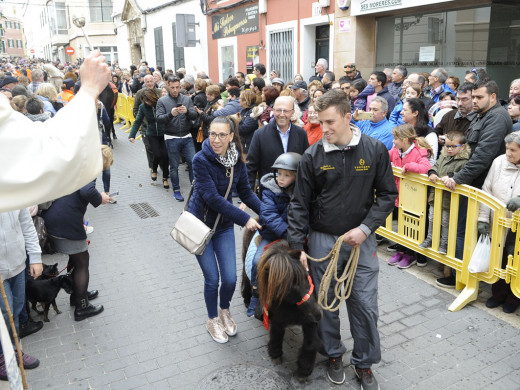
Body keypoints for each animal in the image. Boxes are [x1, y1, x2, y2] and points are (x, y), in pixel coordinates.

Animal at [256, 239, 320, 380]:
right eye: (286, 289)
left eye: (306, 276)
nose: (318, 314)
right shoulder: (278, 319)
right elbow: (276, 334)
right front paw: (275, 354)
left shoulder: (310, 322)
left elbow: (310, 342)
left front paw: (304, 369)